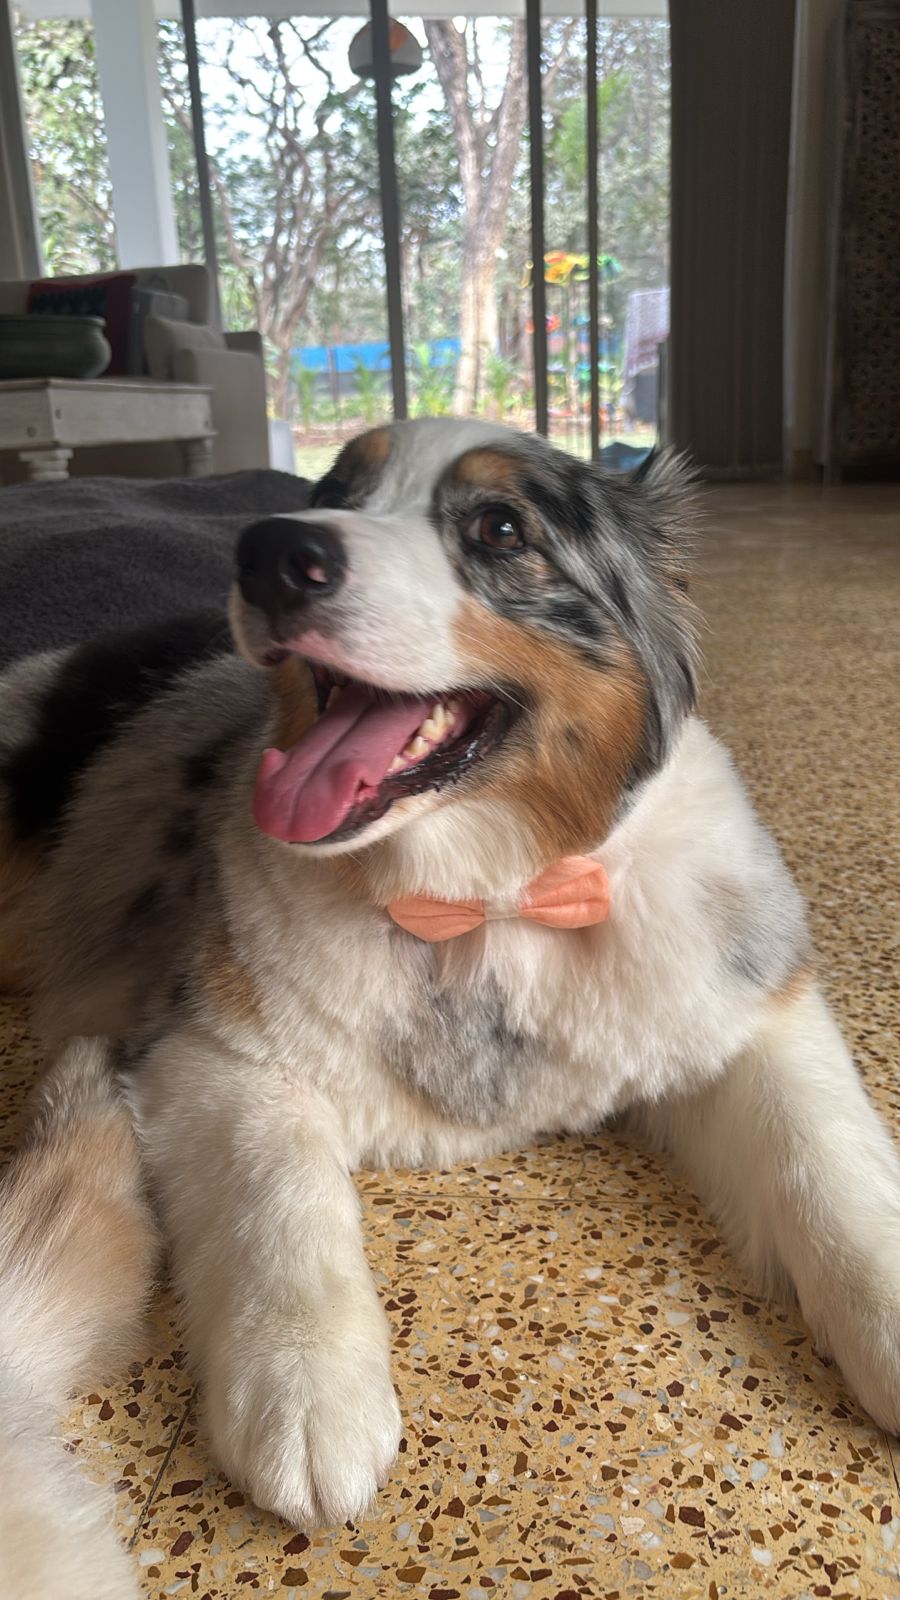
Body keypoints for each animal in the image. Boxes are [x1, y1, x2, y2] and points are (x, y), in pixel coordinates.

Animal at [0, 419, 898, 1598]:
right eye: (335, 490)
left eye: (502, 529)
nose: (270, 551)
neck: (490, 899)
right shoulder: (213, 1049)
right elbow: (280, 1200)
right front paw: (310, 1400)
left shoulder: (749, 1006)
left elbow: (828, 1161)